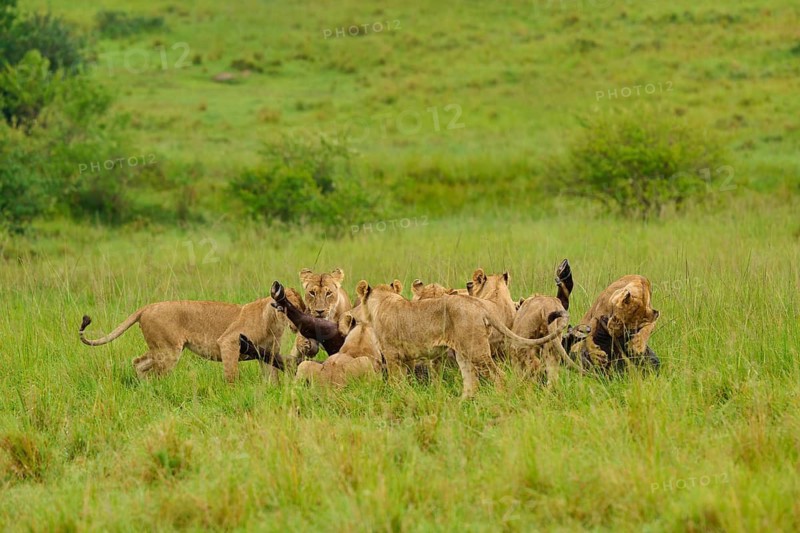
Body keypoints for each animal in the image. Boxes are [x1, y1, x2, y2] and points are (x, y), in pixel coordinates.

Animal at [79, 288, 306, 382]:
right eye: (288, 307)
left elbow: (271, 377)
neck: (274, 324)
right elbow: (231, 374)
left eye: (301, 306)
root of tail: (147, 307)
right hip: (169, 351)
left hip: (160, 349)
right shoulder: (229, 342)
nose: (298, 324)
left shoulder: (267, 354)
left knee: (138, 362)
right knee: (155, 374)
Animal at [355, 280, 562, 399]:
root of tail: (479, 305)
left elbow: (395, 382)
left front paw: (396, 396)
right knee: (471, 382)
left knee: (498, 375)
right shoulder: (407, 358)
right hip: (463, 353)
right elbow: (405, 380)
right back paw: (460, 403)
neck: (383, 301)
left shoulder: (392, 356)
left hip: (476, 350)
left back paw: (498, 398)